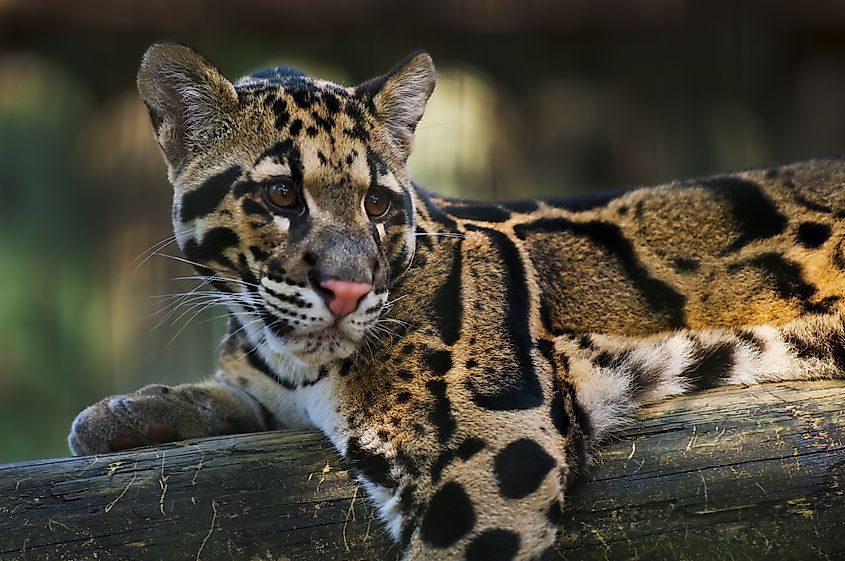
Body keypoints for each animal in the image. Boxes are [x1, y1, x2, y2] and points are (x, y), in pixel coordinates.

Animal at [69, 42, 845, 561]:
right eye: (282, 195)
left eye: (378, 203)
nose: (348, 288)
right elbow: (233, 395)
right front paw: (131, 412)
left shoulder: (499, 446)